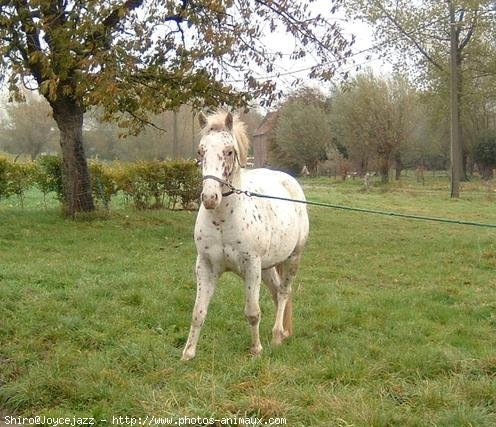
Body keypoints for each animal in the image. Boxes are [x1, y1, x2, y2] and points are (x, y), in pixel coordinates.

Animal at [180, 111, 308, 362]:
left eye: (229, 151)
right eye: (200, 151)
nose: (209, 198)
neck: (223, 220)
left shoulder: (251, 266)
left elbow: (252, 312)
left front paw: (256, 350)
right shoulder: (205, 266)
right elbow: (198, 312)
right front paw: (188, 353)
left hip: (291, 259)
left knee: (284, 292)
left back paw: (277, 335)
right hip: (267, 268)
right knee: (276, 292)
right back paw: (283, 332)